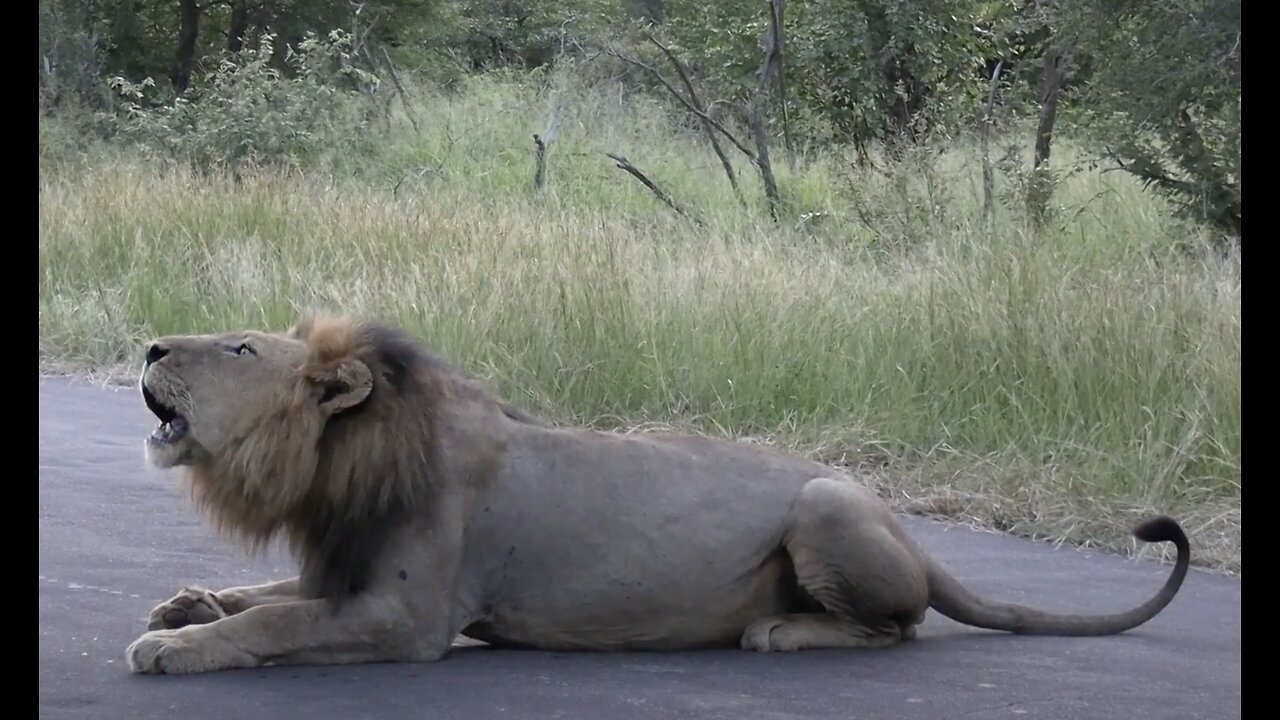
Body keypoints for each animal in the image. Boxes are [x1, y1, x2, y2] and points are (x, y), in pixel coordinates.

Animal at [122, 312, 1187, 671]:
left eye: (239, 348)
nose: (151, 345)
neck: (339, 459)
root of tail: (917, 536)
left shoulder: (409, 620)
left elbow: (274, 622)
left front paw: (172, 646)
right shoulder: (341, 574)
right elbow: (263, 596)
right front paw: (187, 602)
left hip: (826, 504)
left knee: (904, 626)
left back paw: (783, 631)